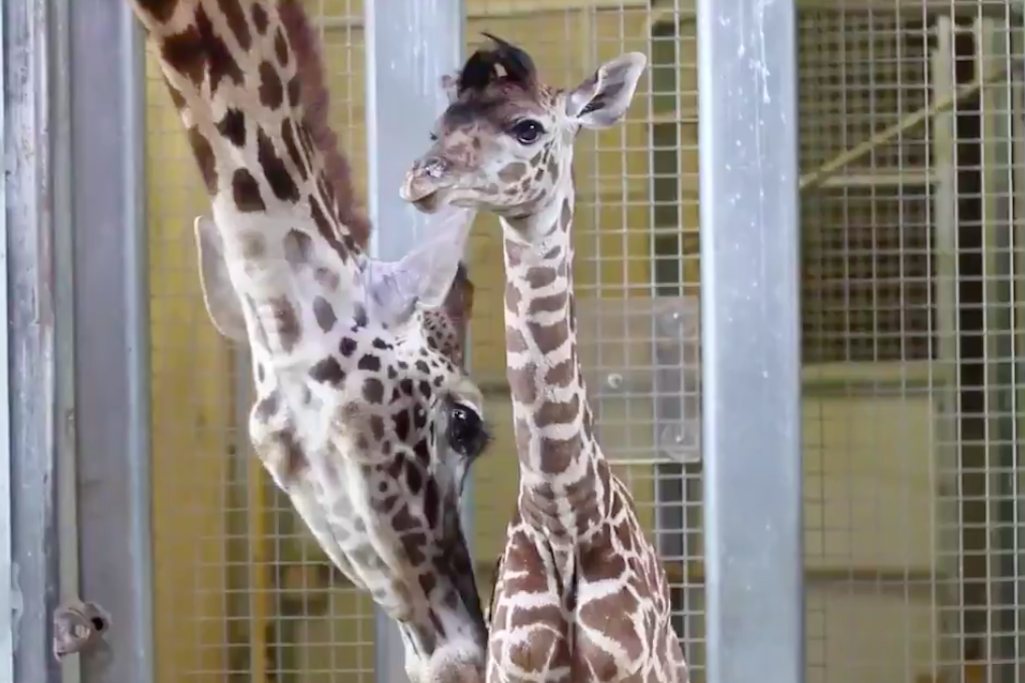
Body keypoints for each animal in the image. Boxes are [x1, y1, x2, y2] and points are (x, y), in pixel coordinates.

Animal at [400, 35, 689, 683]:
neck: (562, 519)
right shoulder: (512, 667)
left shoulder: (632, 670)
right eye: (437, 130)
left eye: (528, 128)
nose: (420, 179)